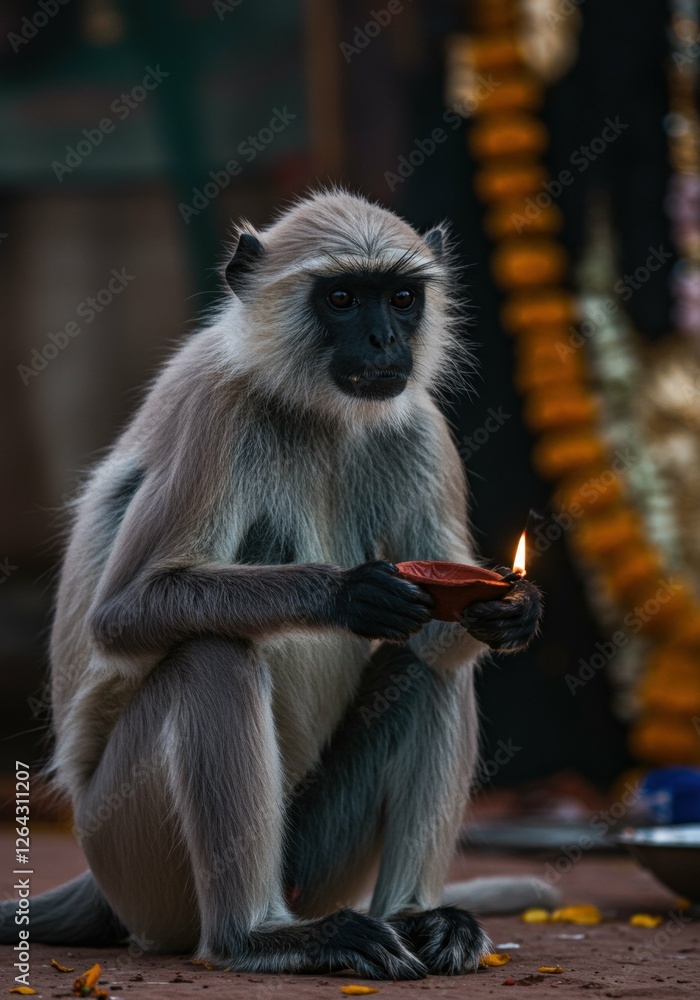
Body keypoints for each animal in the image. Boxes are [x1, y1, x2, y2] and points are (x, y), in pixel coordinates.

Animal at [0, 189, 545, 978]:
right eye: (342, 298)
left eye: (402, 298)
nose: (385, 341)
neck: (314, 406)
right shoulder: (217, 407)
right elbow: (124, 614)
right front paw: (349, 594)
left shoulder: (418, 424)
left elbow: (445, 638)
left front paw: (515, 611)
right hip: (127, 847)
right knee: (211, 655)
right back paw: (258, 937)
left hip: (312, 861)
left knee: (427, 669)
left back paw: (415, 917)